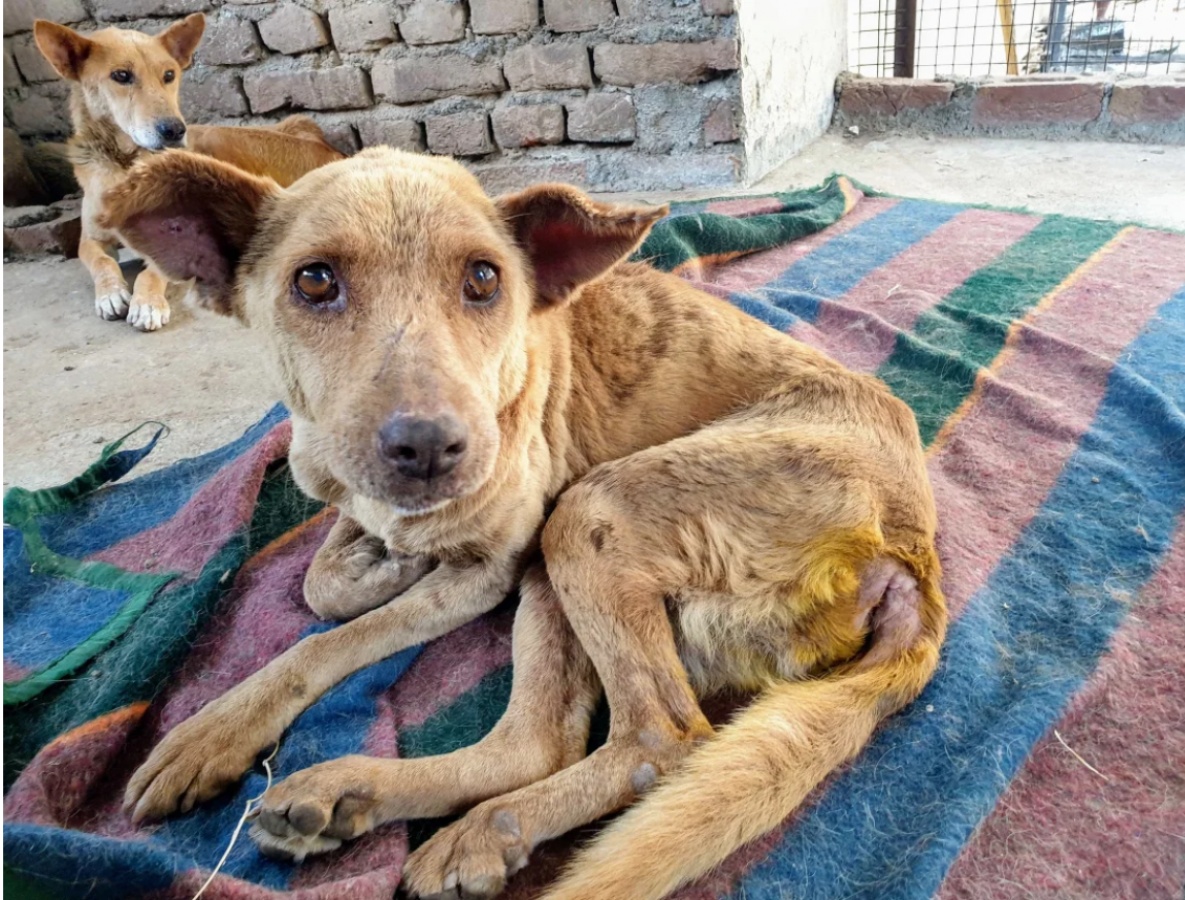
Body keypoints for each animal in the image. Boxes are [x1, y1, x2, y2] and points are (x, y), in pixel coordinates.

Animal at [35, 14, 343, 332]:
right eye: (121, 75)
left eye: (169, 75)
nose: (174, 129)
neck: (123, 161)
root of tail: (323, 145)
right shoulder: (90, 238)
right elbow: (100, 262)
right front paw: (110, 293)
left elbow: (152, 271)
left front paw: (147, 303)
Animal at [106, 145, 947, 900]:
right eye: (313, 281)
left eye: (484, 279)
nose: (430, 448)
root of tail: (912, 555)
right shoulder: (342, 485)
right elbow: (323, 583)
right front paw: (382, 560)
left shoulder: (487, 572)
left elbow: (329, 639)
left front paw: (216, 729)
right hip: (567, 564)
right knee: (541, 740)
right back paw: (367, 801)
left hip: (580, 517)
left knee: (645, 740)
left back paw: (456, 820)